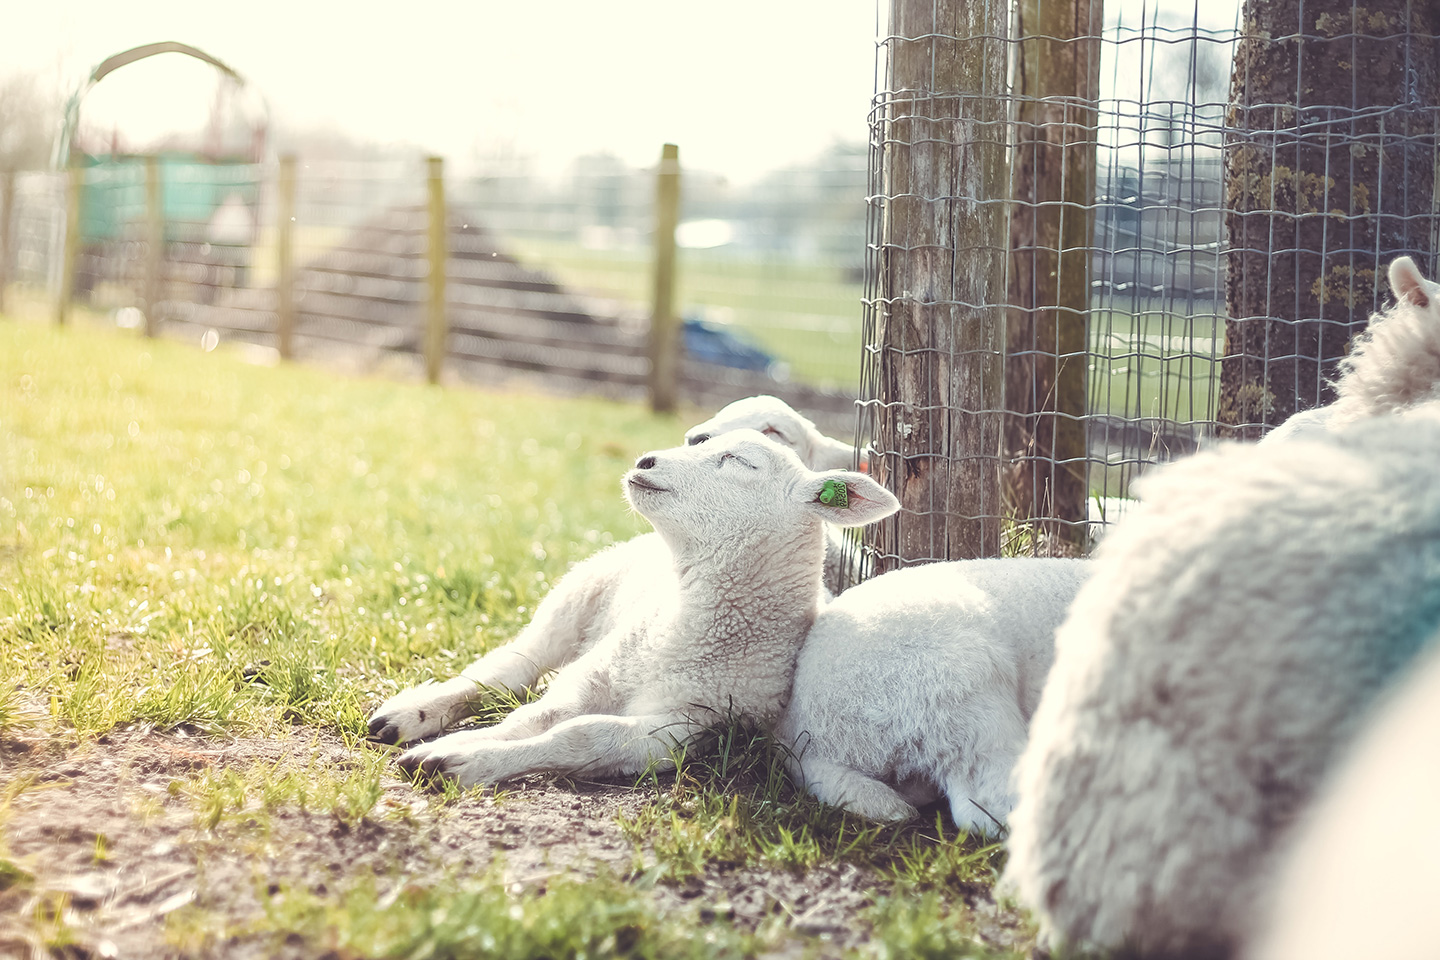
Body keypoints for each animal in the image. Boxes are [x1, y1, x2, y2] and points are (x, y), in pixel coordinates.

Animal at [386, 429, 899, 787]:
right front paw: (457, 746)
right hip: (576, 596)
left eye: (739, 461)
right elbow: (535, 717)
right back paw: (407, 715)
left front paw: (461, 760)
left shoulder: (688, 726)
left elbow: (580, 734)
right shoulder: (596, 673)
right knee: (505, 671)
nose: (645, 461)